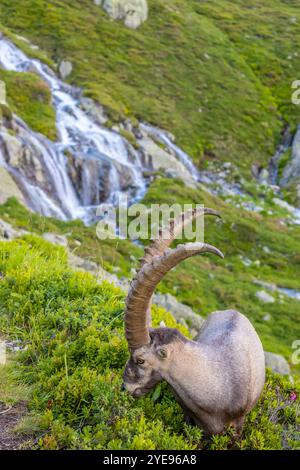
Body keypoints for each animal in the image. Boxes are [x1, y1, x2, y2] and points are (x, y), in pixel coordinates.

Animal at [122, 207, 264, 436]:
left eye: (141, 360)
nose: (125, 388)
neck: (217, 383)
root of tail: (234, 312)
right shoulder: (190, 420)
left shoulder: (237, 426)